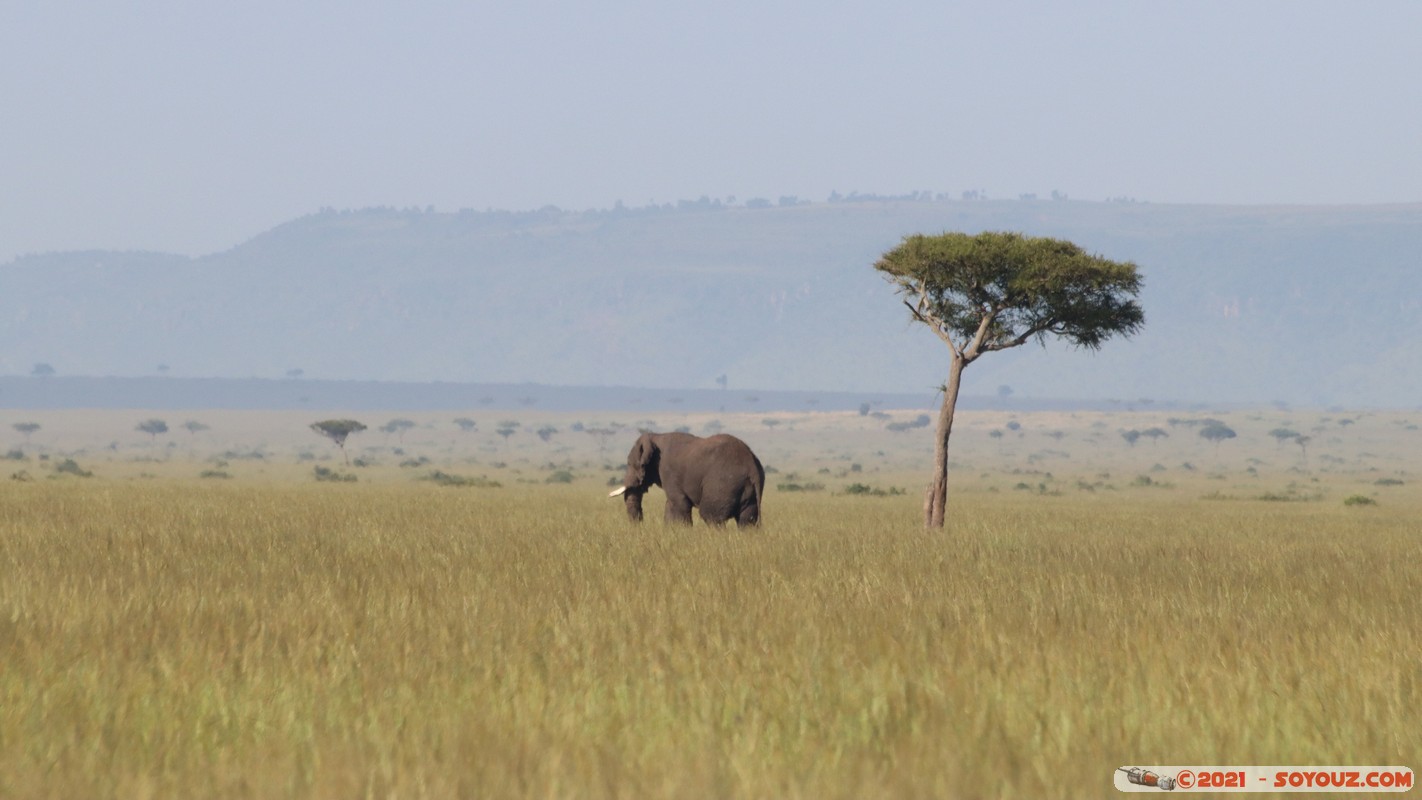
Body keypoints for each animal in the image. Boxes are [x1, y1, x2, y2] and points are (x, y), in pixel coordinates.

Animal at [611, 431, 767, 525]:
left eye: (630, 464)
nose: (640, 525)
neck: (656, 437)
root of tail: (752, 465)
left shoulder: (669, 471)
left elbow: (678, 503)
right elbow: (671, 505)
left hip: (724, 484)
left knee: (711, 516)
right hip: (746, 488)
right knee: (747, 521)